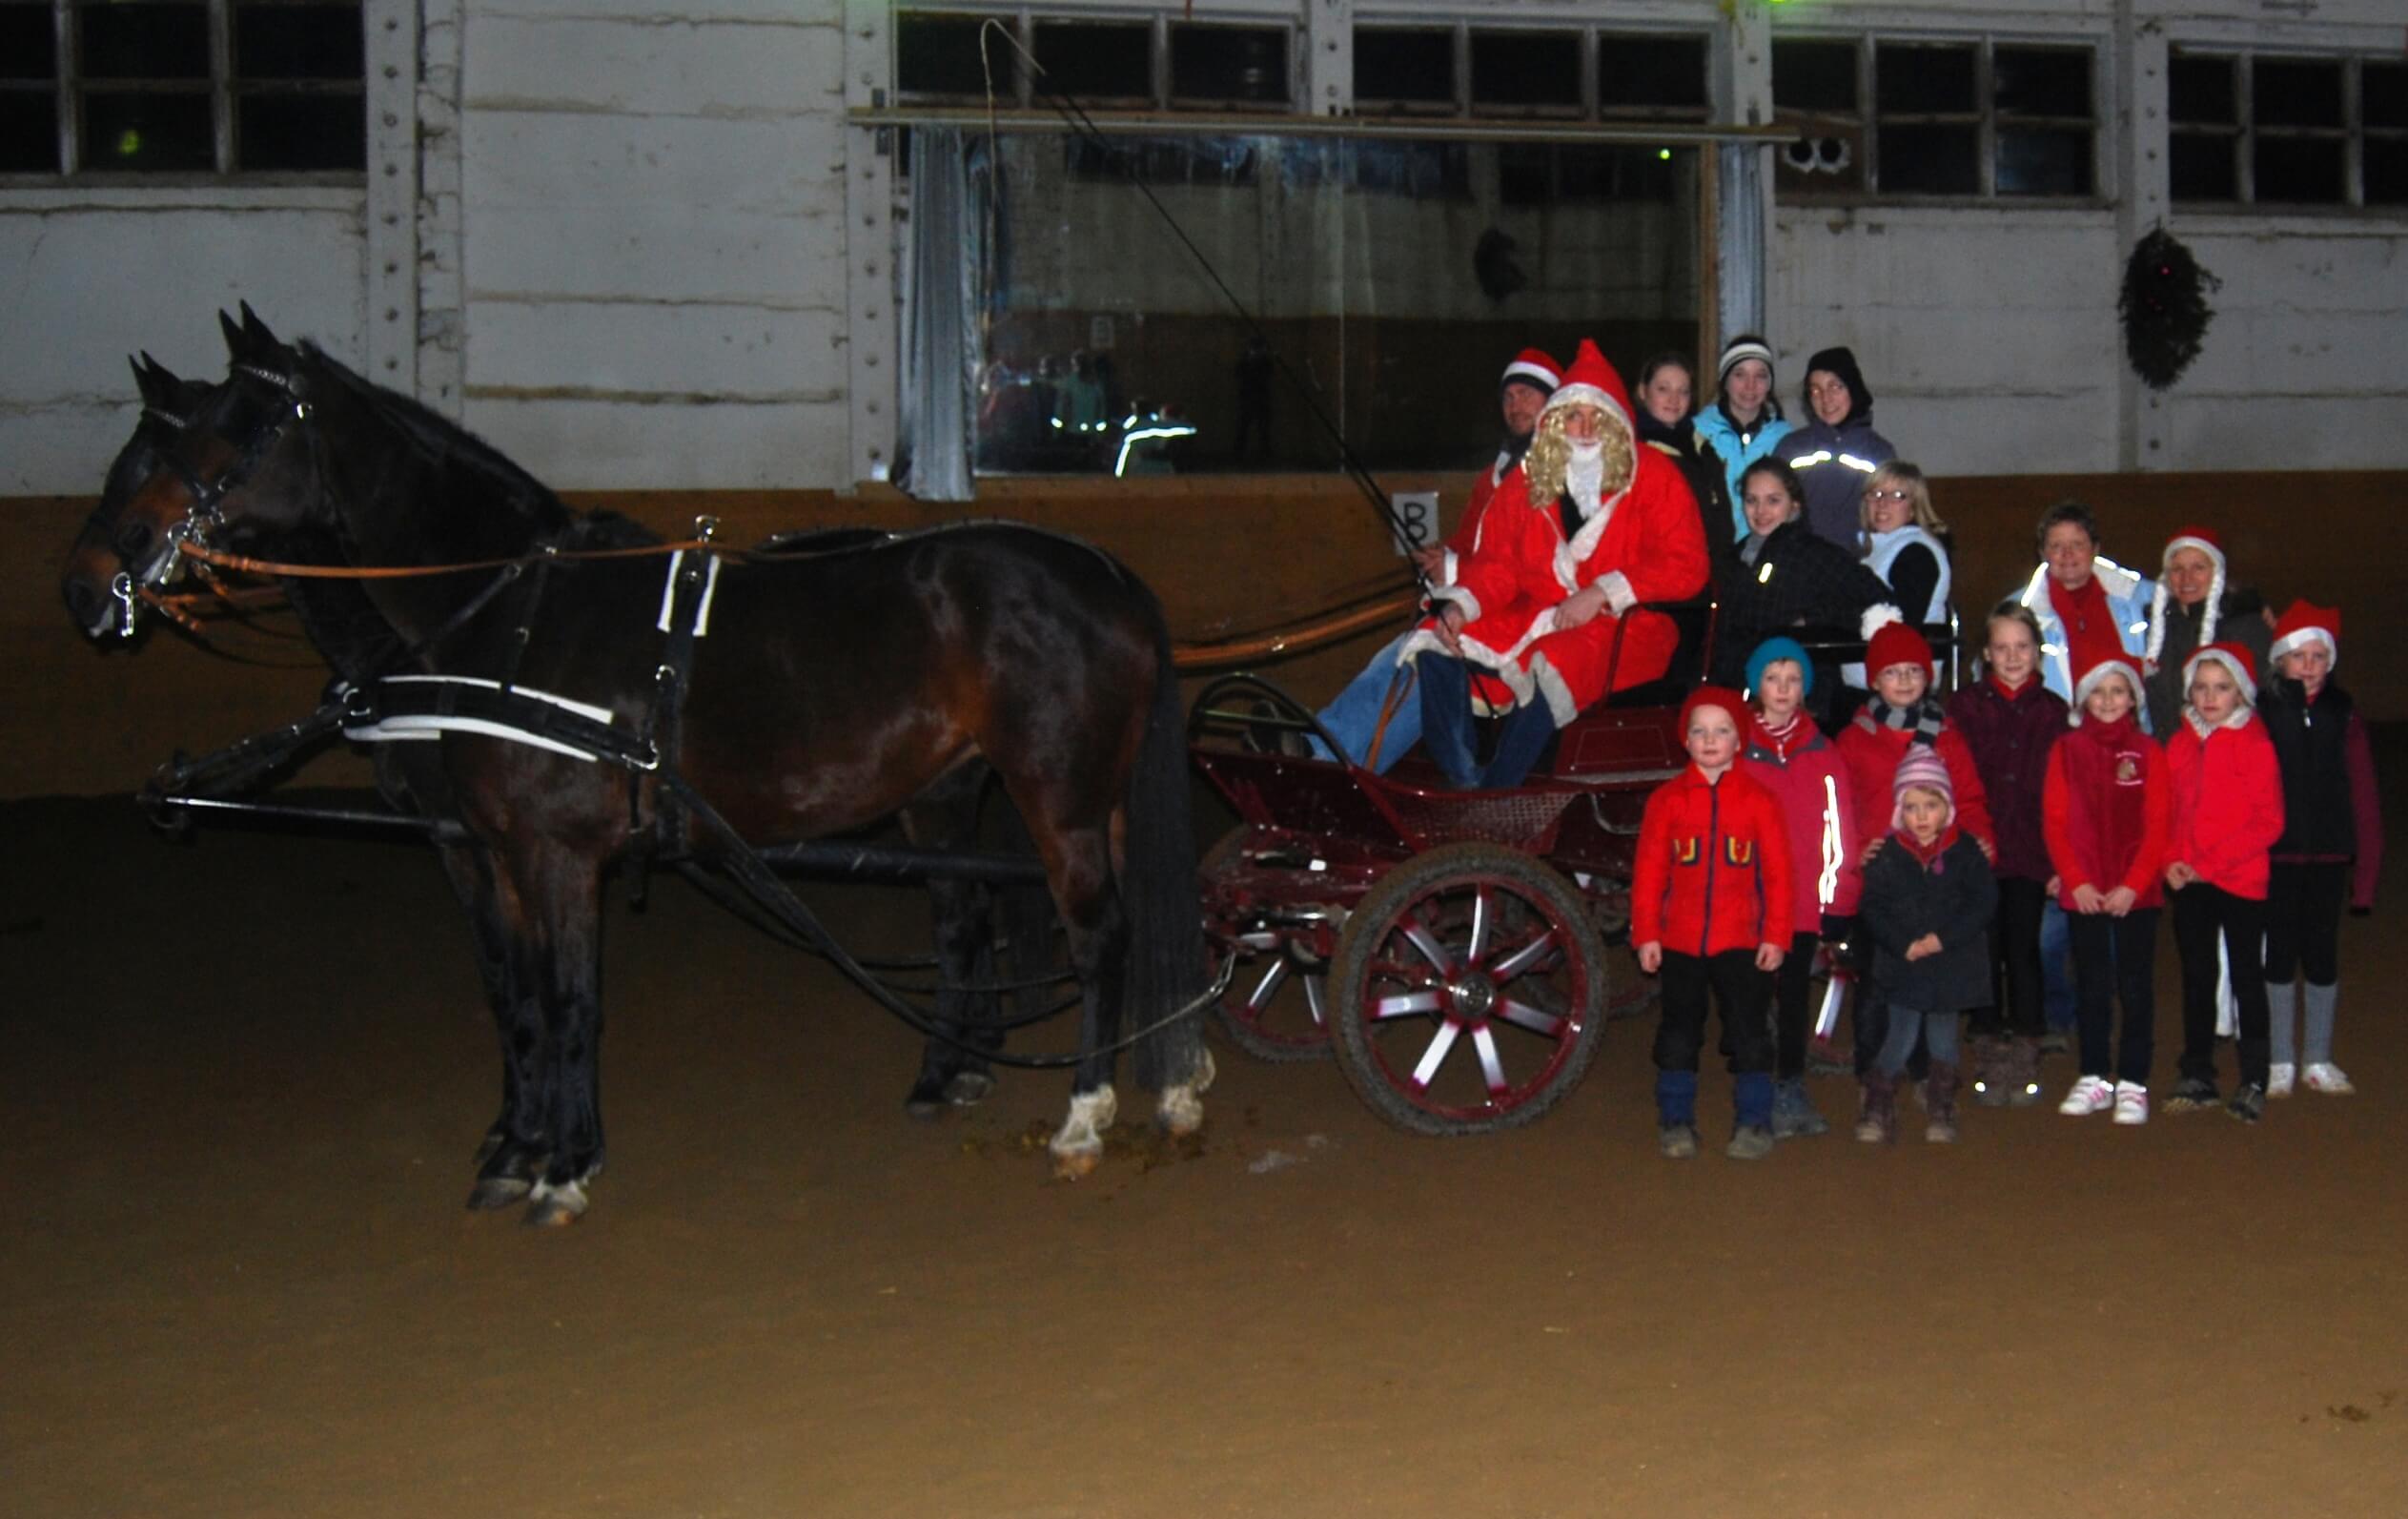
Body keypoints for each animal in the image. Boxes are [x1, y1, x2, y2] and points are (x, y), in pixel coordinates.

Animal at [66, 319, 1214, 1222]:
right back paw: (1129, 1078)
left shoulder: (551, 852)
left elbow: (568, 998)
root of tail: (1109, 574)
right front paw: (519, 1145)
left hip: (1058, 797)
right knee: (1066, 917)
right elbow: (520, 991)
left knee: (1100, 933)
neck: (510, 614)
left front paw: (562, 1164)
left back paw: (1084, 1115)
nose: (89, 581)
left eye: (226, 427)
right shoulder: (493, 848)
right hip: (1011, 794)